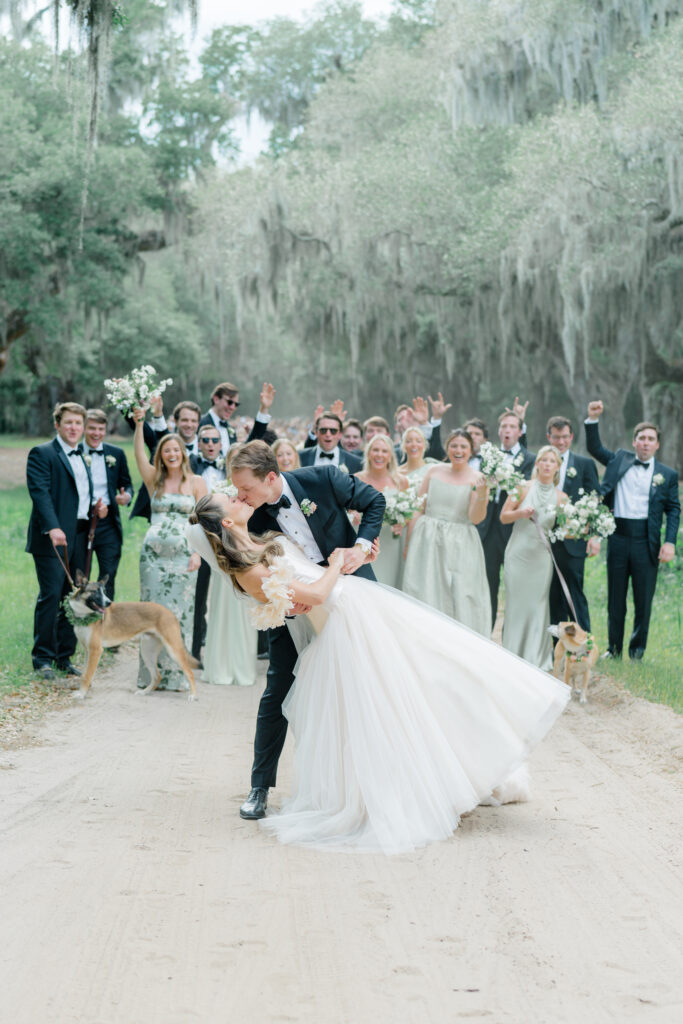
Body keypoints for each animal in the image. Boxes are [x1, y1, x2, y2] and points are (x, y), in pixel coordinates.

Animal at [66, 573, 197, 700]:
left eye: (104, 592)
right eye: (94, 591)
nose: (109, 603)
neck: (84, 616)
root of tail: (170, 613)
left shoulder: (95, 650)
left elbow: (87, 675)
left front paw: (82, 694)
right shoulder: (87, 650)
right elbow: (84, 674)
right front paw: (82, 691)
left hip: (173, 650)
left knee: (190, 672)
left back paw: (193, 695)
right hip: (147, 652)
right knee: (157, 676)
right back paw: (144, 692)